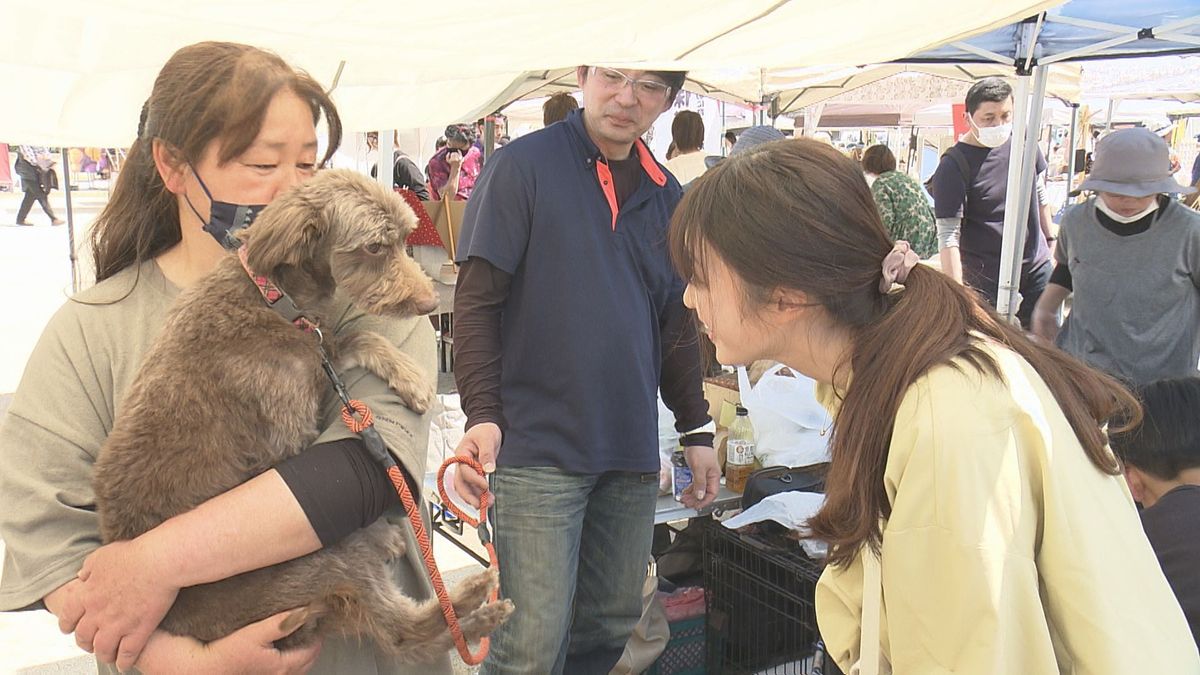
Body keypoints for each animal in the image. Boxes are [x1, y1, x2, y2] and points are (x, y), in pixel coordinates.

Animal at [90, 168, 511, 658]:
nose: (430, 304)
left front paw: (408, 375)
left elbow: (358, 338)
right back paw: (475, 599)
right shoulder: (288, 430)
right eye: (374, 247)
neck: (274, 298)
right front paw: (414, 377)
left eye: (405, 238)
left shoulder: (318, 345)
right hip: (314, 567)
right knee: (400, 630)